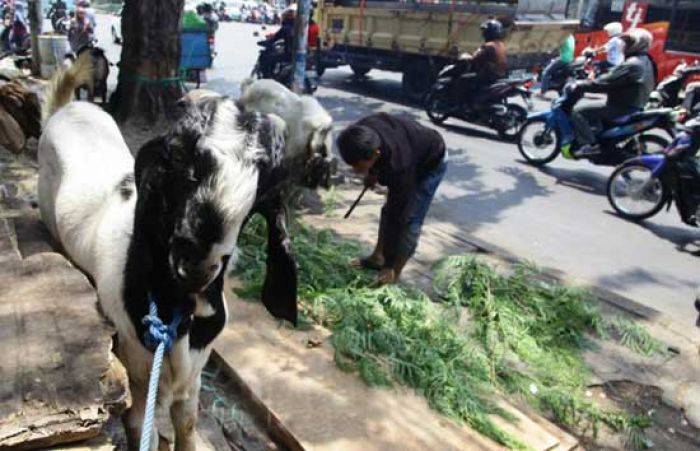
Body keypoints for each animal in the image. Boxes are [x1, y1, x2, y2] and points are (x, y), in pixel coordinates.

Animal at [37, 54, 284, 450]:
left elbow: (187, 421)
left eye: (263, 178)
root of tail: (65, 109)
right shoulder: (137, 374)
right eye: (176, 159)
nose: (196, 259)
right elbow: (143, 428)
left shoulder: (193, 373)